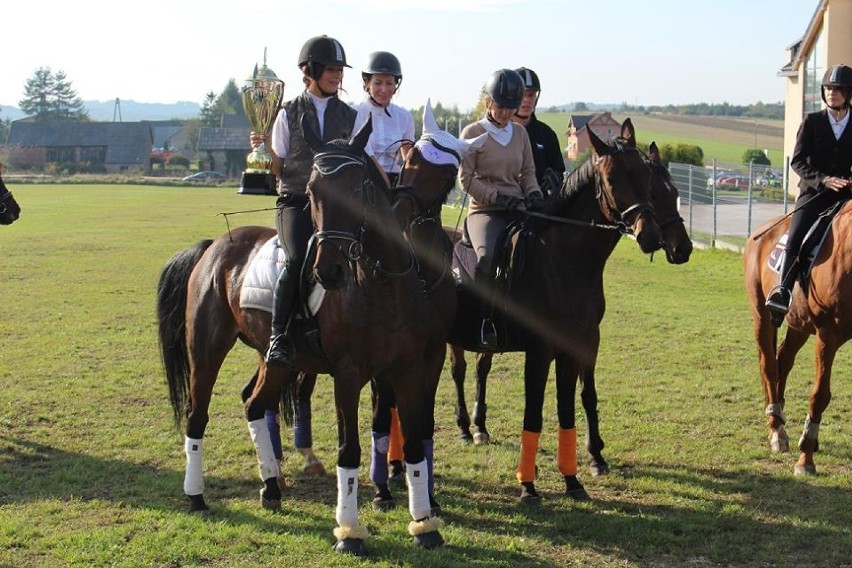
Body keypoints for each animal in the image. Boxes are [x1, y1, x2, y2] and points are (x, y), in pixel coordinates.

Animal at [156, 115, 442, 556]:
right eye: (311, 192)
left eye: (357, 189)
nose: (329, 271)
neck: (381, 283)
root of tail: (214, 246)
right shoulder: (348, 376)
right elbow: (349, 450)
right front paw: (349, 531)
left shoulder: (408, 370)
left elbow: (412, 445)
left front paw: (424, 524)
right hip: (205, 352)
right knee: (197, 416)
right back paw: (196, 496)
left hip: (275, 360)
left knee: (255, 404)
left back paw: (271, 487)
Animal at [446, 139, 692, 484]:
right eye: (612, 180)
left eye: (658, 187)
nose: (677, 247)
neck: (565, 260)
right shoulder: (542, 347)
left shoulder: (588, 339)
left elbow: (586, 393)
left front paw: (596, 455)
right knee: (459, 371)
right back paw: (465, 430)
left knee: (481, 368)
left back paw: (480, 427)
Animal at [744, 197, 852, 472]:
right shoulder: (827, 335)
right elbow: (820, 395)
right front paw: (806, 459)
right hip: (762, 316)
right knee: (769, 365)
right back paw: (777, 430)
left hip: (798, 324)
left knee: (783, 360)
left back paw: (779, 417)